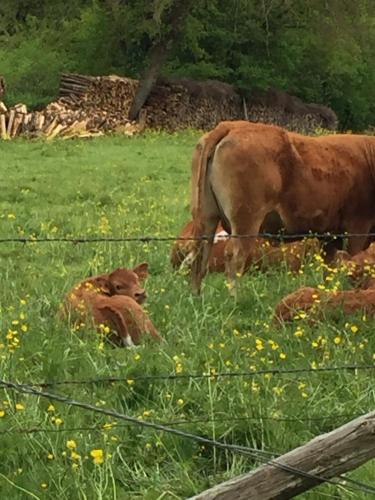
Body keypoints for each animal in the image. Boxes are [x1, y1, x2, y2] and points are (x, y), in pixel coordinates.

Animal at [191, 120, 375, 292]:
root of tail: (232, 125)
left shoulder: (328, 235)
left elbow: (328, 270)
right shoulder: (357, 229)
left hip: (206, 217)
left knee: (200, 255)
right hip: (246, 221)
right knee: (234, 257)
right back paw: (235, 299)